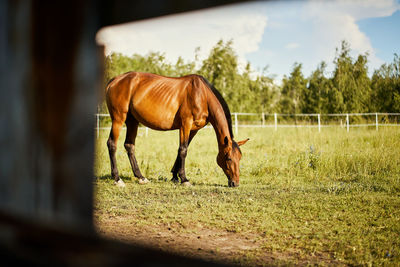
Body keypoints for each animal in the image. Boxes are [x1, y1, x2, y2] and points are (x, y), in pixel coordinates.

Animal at [104, 72, 248, 187]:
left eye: (240, 157)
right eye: (228, 158)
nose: (235, 183)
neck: (202, 94)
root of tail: (115, 80)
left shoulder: (193, 129)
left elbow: (182, 150)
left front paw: (175, 176)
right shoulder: (185, 124)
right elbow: (183, 150)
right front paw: (184, 179)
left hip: (132, 121)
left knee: (129, 145)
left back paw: (141, 177)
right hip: (118, 119)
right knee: (112, 144)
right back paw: (117, 179)